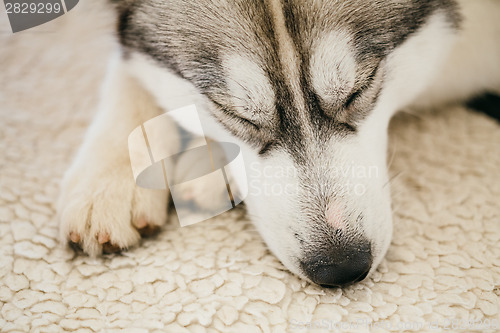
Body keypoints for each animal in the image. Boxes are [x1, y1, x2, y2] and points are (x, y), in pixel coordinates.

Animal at [59, 0, 500, 286]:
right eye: (235, 112)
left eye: (359, 89)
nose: (341, 267)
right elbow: (129, 67)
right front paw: (109, 180)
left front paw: (208, 170)